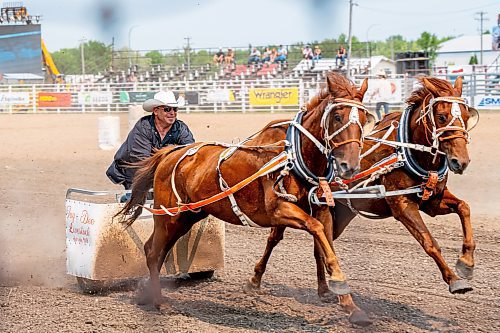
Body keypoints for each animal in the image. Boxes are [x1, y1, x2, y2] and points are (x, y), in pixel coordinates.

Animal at [120, 72, 376, 324]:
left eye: (364, 119)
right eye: (337, 116)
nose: (350, 166)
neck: (293, 155)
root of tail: (169, 153)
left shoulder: (321, 210)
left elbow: (325, 245)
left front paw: (350, 306)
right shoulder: (280, 210)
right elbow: (317, 233)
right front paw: (341, 288)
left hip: (187, 217)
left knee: (157, 249)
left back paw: (146, 295)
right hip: (169, 216)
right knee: (153, 252)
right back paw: (159, 302)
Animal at [248, 76, 478, 304]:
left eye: (467, 116)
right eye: (441, 116)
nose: (461, 162)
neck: (408, 151)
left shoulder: (432, 201)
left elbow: (464, 208)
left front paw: (466, 263)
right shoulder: (402, 206)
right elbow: (429, 242)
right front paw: (454, 280)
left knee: (319, 244)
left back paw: (324, 289)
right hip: (290, 205)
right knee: (274, 238)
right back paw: (255, 279)